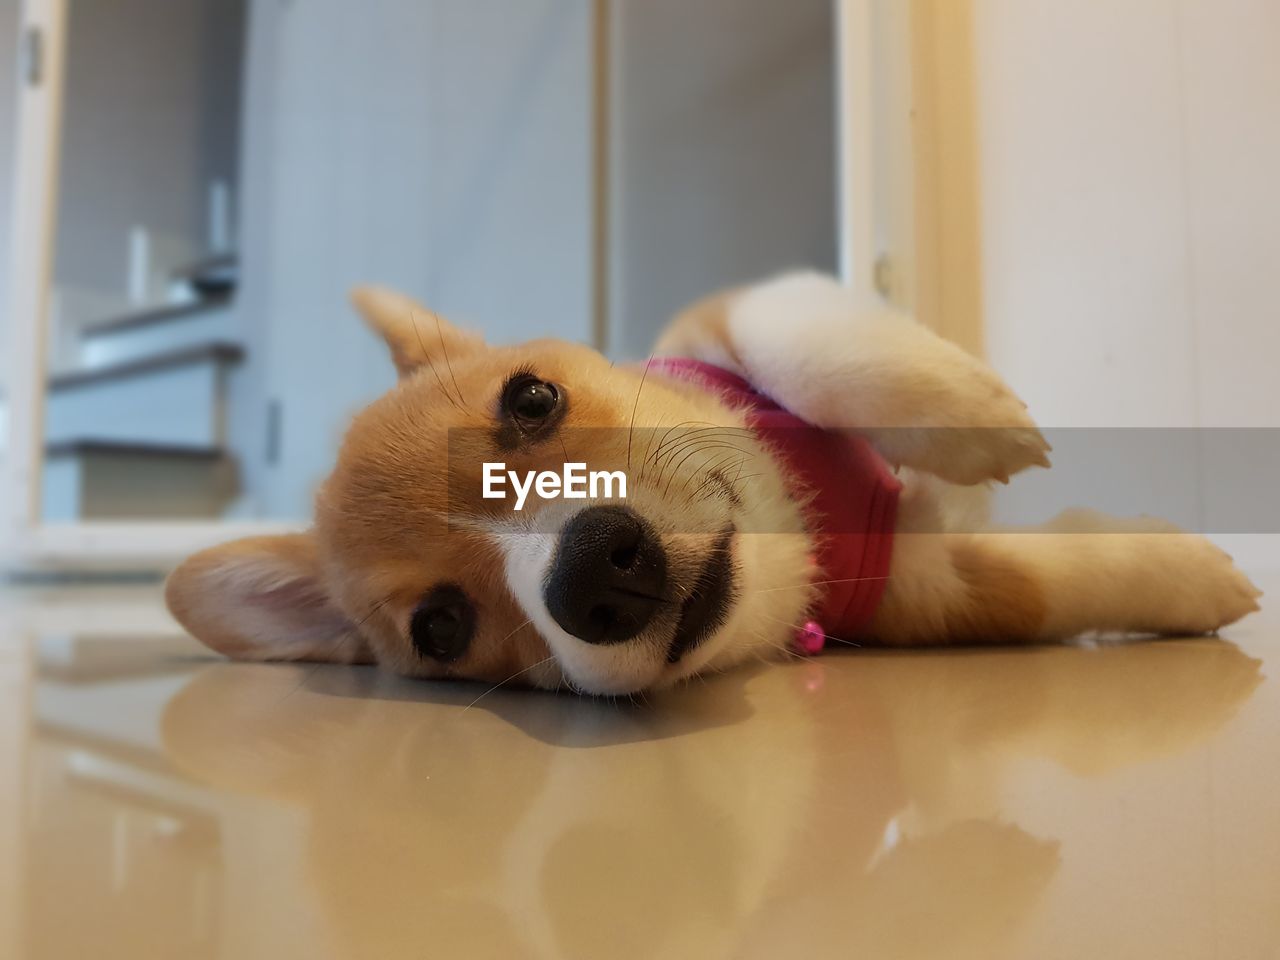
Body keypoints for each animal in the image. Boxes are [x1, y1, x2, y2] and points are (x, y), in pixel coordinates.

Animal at [165, 273, 1264, 696]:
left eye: (531, 399)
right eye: (439, 628)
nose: (595, 574)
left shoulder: (728, 316)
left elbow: (810, 343)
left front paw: (968, 410)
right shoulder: (923, 588)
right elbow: (1051, 580)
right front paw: (1187, 581)